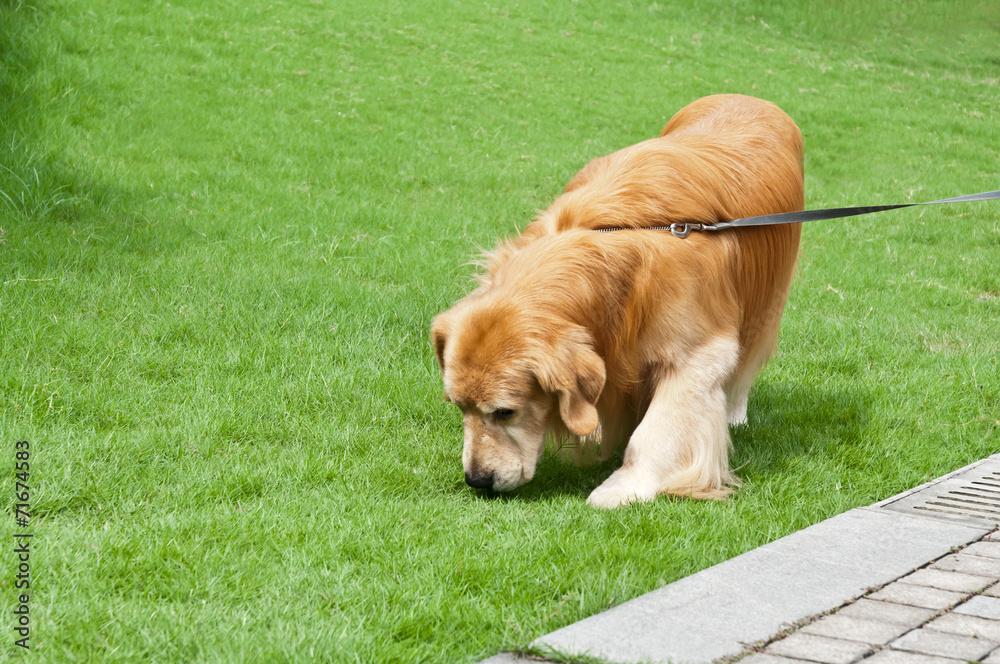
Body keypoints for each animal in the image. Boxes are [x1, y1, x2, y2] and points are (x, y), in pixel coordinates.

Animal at [432, 94, 804, 508]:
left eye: (504, 412)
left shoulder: (700, 347)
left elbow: (661, 425)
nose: (476, 480)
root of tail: (750, 97)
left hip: (767, 292)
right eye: (458, 406)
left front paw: (624, 485)